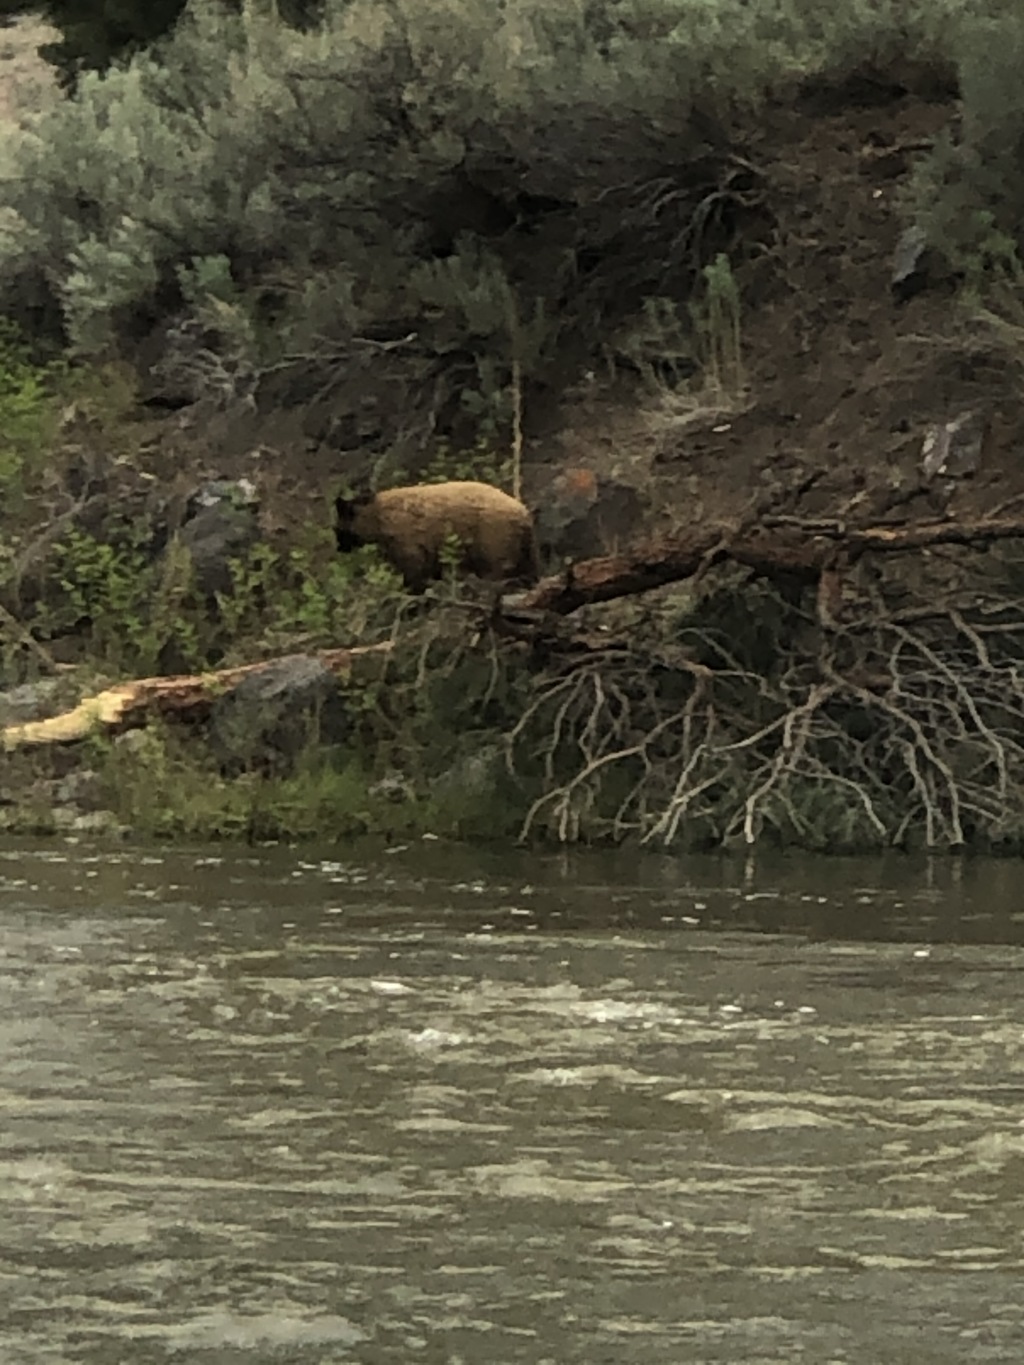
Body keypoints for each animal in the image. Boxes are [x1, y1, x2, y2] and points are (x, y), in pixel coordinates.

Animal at [333, 481, 540, 591]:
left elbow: (413, 570)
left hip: (494, 535)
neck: (377, 517)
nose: (339, 548)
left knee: (497, 567)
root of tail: (523, 513)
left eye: (337, 529)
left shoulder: (406, 539)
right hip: (523, 545)